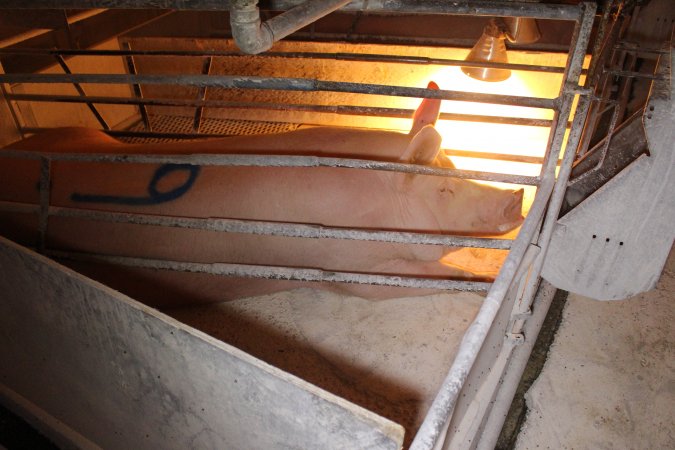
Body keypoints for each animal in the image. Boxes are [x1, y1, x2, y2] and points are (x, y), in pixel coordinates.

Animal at [0, 91, 524, 306]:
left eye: (456, 168)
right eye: (445, 189)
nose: (516, 196)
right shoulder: (341, 267)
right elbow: (413, 281)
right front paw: (483, 278)